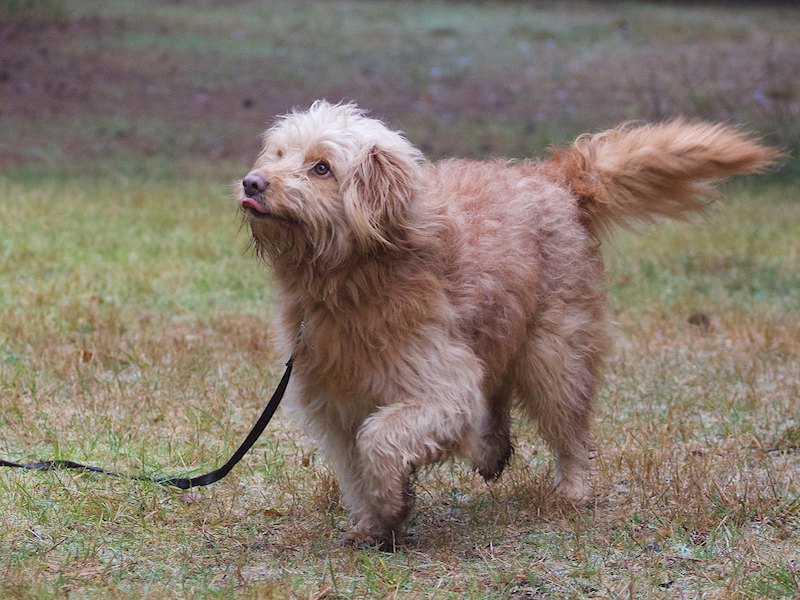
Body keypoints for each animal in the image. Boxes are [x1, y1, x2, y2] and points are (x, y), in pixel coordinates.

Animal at [238, 101, 780, 547]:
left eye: (321, 167)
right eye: (279, 153)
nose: (252, 182)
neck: (350, 282)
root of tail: (554, 178)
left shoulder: (441, 385)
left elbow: (380, 440)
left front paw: (390, 502)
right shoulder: (336, 403)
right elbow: (355, 464)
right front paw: (375, 522)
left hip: (555, 351)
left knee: (568, 428)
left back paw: (571, 490)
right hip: (499, 331)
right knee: (496, 395)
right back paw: (491, 451)